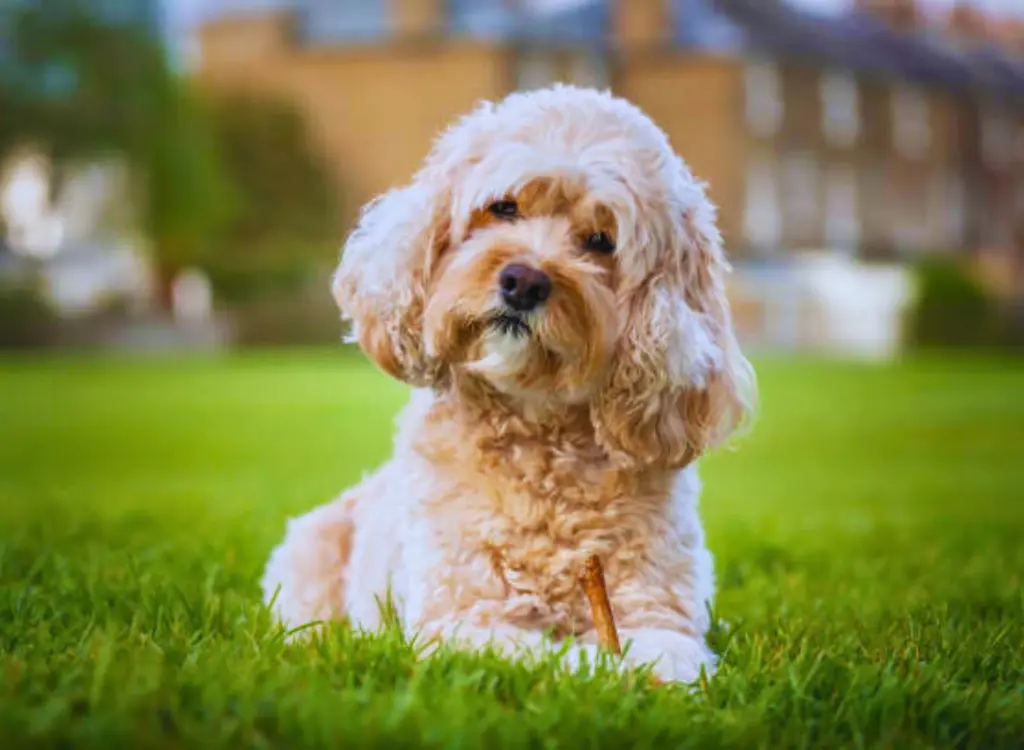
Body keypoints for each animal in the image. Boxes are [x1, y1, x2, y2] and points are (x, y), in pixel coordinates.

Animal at [260, 85, 757, 684]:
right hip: (306, 558)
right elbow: (547, 657)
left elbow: (653, 656)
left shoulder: (662, 619)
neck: (539, 439)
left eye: (600, 240)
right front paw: (589, 664)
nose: (524, 281)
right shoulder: (461, 620)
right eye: (503, 207)